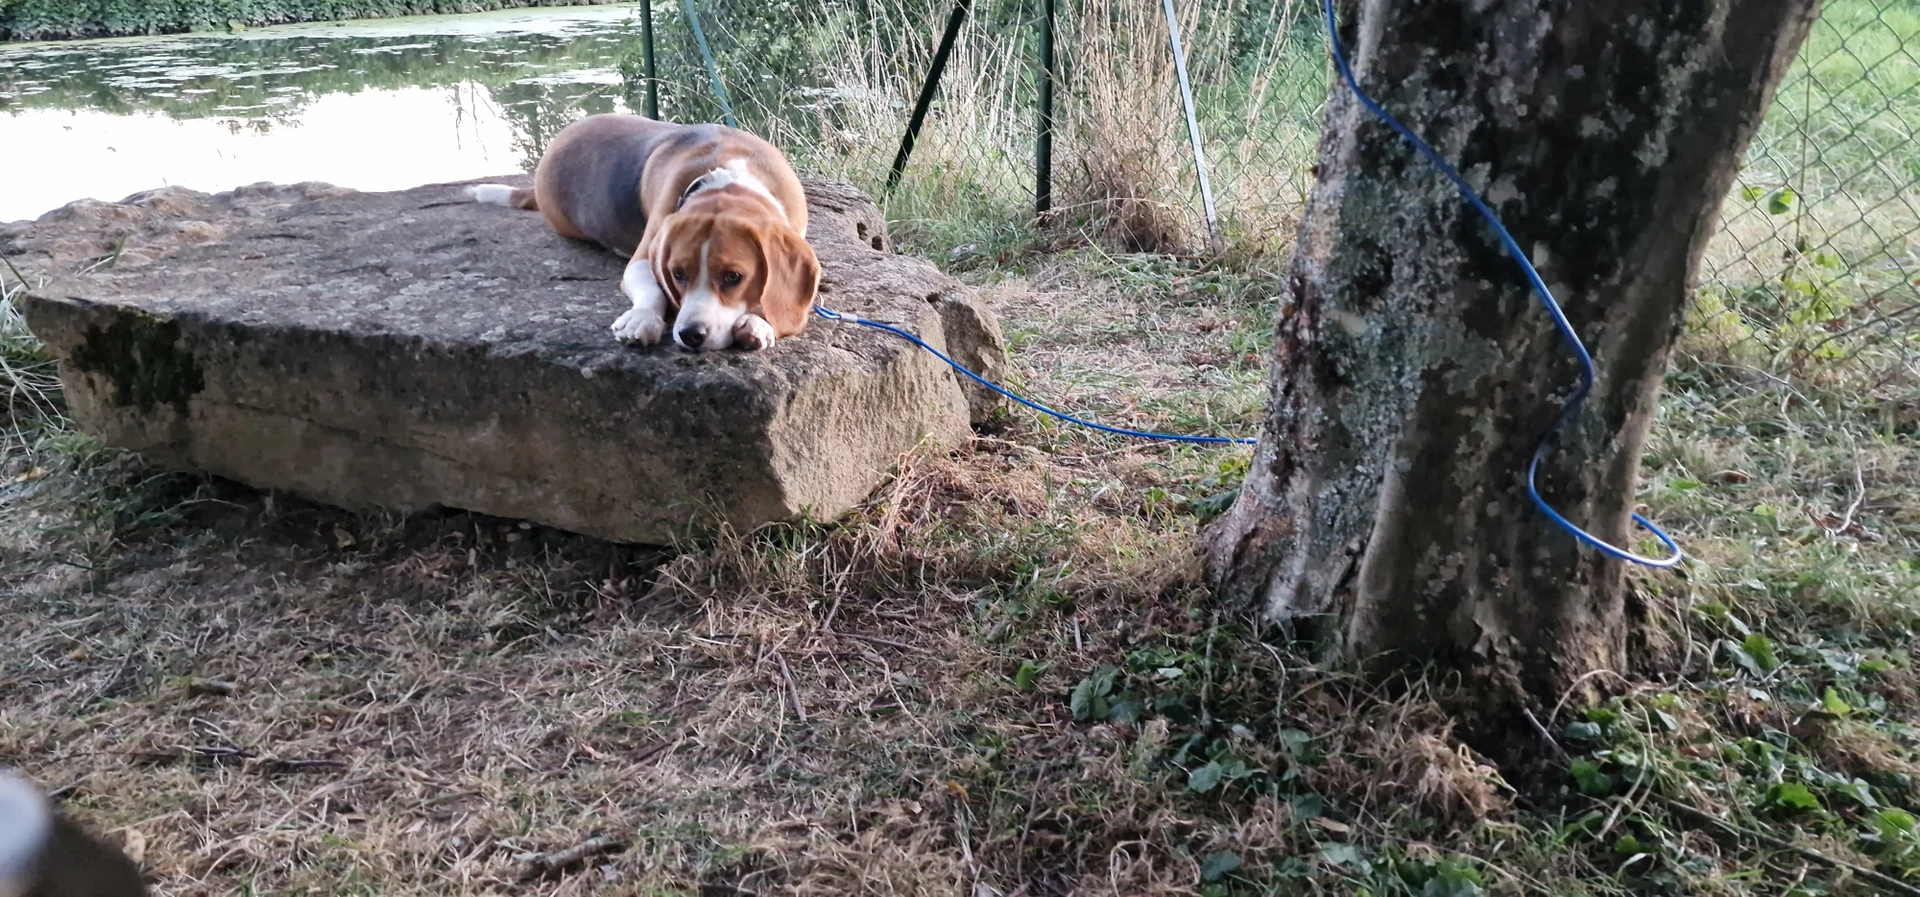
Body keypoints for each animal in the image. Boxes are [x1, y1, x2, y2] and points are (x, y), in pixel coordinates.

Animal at [467, 114, 820, 353]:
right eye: (678, 274)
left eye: (734, 277)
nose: (691, 334)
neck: (731, 179)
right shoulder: (644, 256)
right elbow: (651, 289)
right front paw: (642, 320)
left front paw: (759, 321)